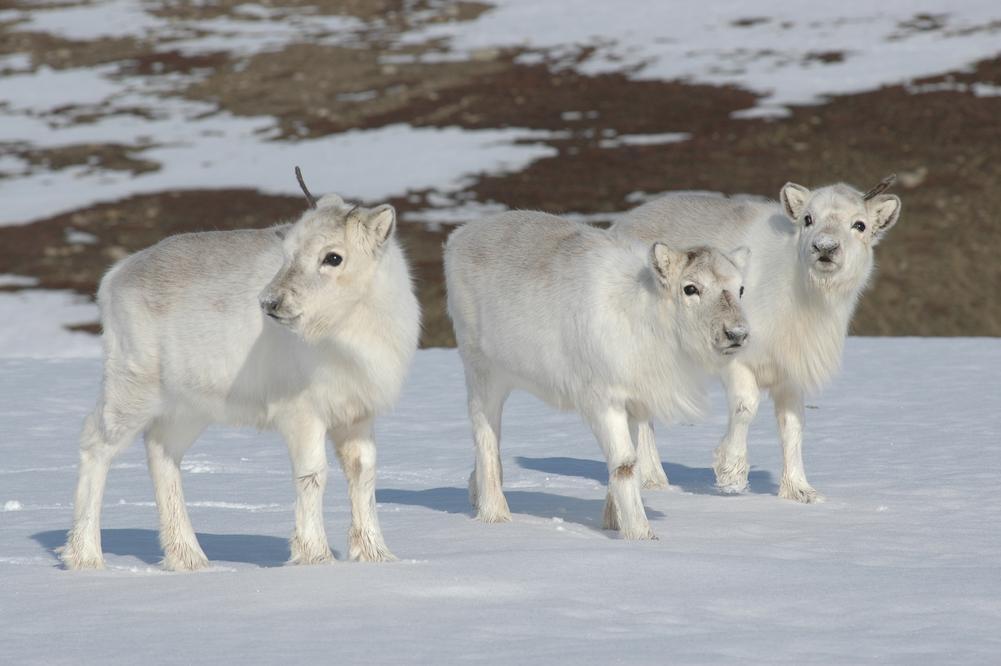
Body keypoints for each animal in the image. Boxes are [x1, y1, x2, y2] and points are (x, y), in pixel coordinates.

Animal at [59, 169, 418, 568]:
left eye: (333, 257)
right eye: (289, 253)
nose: (270, 303)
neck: (353, 329)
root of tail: (113, 277)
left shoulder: (357, 415)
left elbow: (362, 473)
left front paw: (377, 555)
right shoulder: (303, 414)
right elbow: (313, 475)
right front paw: (315, 557)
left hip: (187, 410)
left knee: (161, 453)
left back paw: (188, 559)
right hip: (132, 390)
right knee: (95, 446)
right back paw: (86, 557)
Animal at [446, 210, 752, 536]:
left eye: (740, 289)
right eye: (690, 288)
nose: (737, 334)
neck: (646, 316)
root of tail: (458, 237)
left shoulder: (636, 405)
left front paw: (613, 523)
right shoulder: (606, 402)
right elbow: (626, 464)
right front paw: (640, 534)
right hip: (483, 375)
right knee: (486, 437)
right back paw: (495, 514)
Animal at [612, 175, 904, 498]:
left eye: (860, 225)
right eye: (808, 219)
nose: (825, 248)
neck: (803, 296)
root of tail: (619, 226)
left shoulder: (789, 376)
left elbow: (793, 426)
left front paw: (801, 491)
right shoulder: (736, 359)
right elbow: (746, 406)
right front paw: (731, 475)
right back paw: (654, 481)